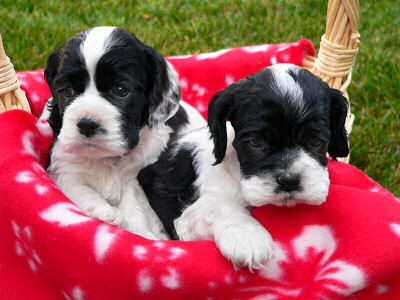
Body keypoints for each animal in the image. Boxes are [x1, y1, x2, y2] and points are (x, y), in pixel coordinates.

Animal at [40, 27, 205, 240]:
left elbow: (135, 206)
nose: (87, 124)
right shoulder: (63, 166)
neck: (109, 160)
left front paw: (143, 235)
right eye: (67, 91)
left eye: (121, 90)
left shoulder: (142, 174)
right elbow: (76, 187)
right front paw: (105, 212)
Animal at [138, 62, 350, 268]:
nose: (289, 181)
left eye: (317, 141)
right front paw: (248, 237)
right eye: (255, 142)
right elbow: (220, 207)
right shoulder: (186, 219)